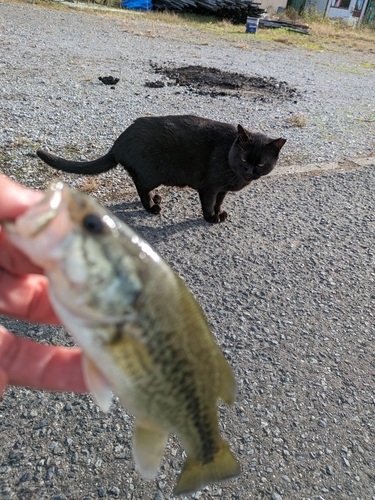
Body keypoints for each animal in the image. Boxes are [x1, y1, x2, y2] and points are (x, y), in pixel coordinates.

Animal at [37, 114, 284, 224]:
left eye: (261, 164)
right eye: (243, 158)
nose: (250, 171)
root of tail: (120, 142)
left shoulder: (222, 189)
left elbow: (220, 201)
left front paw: (219, 212)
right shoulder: (209, 186)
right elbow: (208, 203)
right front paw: (210, 218)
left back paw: (156, 199)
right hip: (151, 173)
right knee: (140, 186)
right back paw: (151, 206)